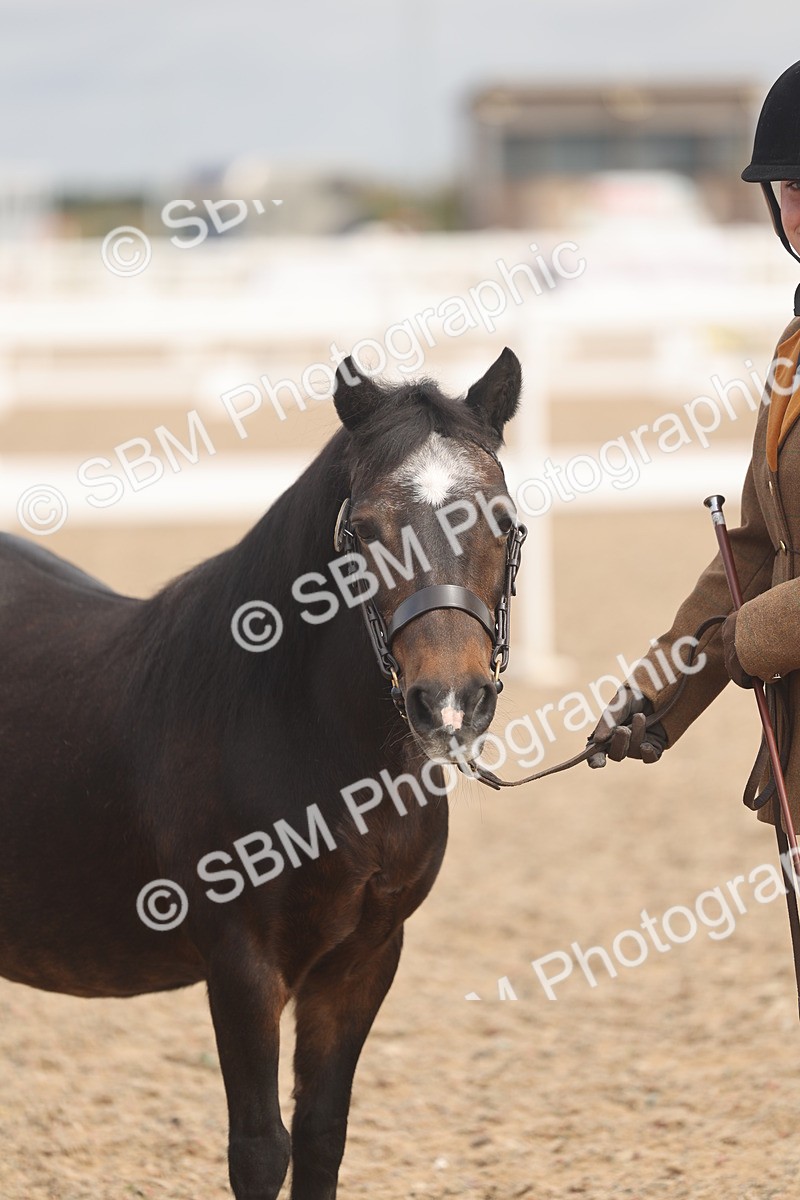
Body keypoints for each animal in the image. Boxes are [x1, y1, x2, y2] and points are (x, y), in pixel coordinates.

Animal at [0, 346, 524, 1199]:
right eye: (363, 529)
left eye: (503, 520)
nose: (449, 700)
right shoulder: (242, 963)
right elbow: (259, 1149)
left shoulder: (362, 960)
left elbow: (319, 1136)